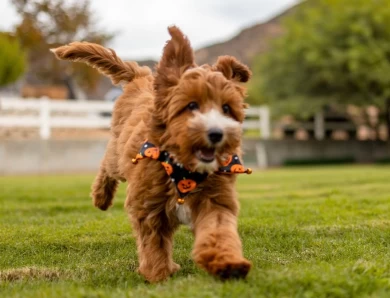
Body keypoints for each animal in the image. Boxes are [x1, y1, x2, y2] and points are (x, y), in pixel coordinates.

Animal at [51, 25, 251, 282]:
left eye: (226, 109)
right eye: (192, 105)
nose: (216, 133)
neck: (183, 171)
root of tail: (141, 76)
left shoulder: (215, 201)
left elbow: (218, 233)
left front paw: (228, 263)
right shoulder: (148, 205)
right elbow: (154, 243)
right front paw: (159, 273)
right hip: (119, 154)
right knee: (107, 164)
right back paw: (101, 197)